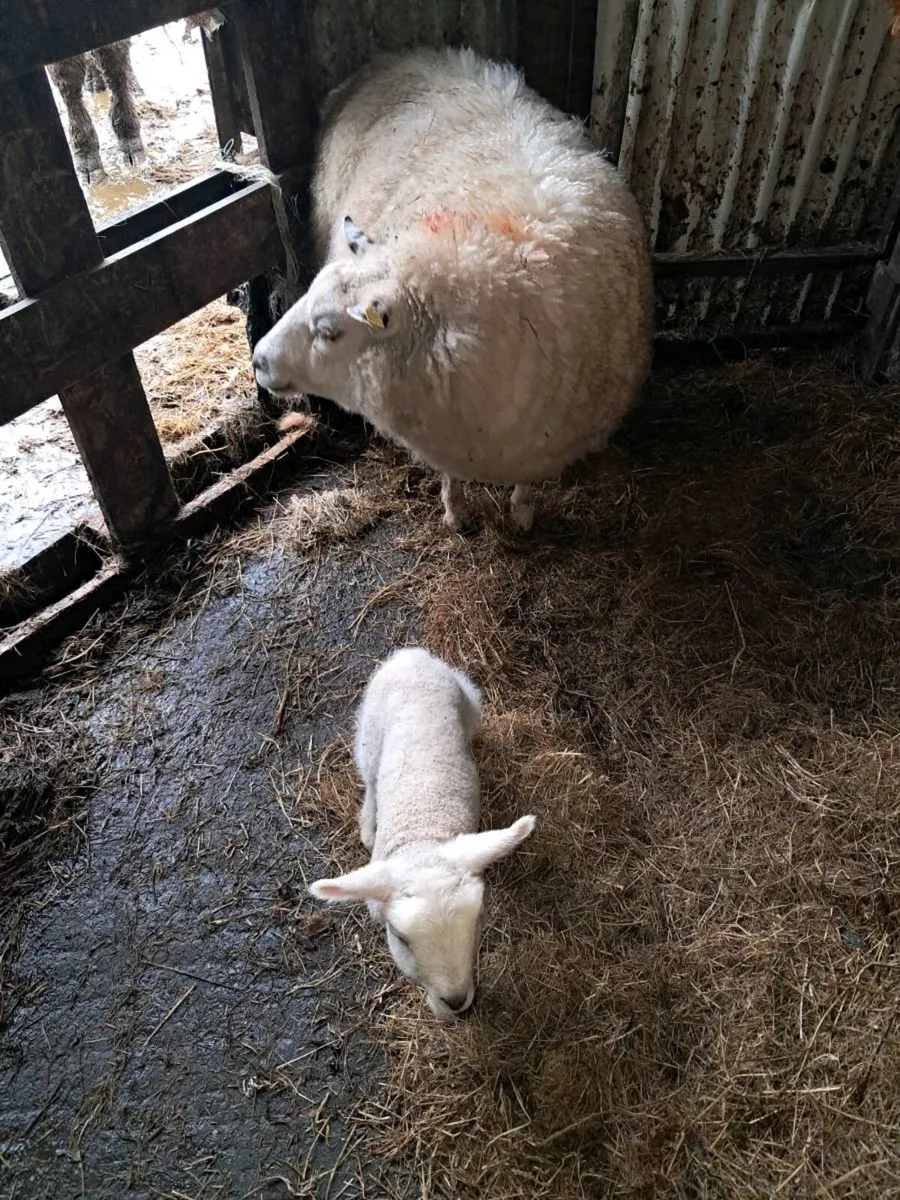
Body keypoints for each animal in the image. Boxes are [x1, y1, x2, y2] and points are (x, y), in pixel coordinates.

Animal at [252, 46, 653, 534]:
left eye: (329, 332)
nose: (258, 360)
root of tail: (403, 54)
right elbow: (452, 475)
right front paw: (455, 512)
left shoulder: (538, 440)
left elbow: (525, 483)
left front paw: (521, 514)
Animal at [309, 647, 536, 1020]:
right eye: (400, 938)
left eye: (478, 920)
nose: (456, 1002)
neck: (422, 836)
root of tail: (411, 654)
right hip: (368, 736)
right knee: (369, 779)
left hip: (470, 703)